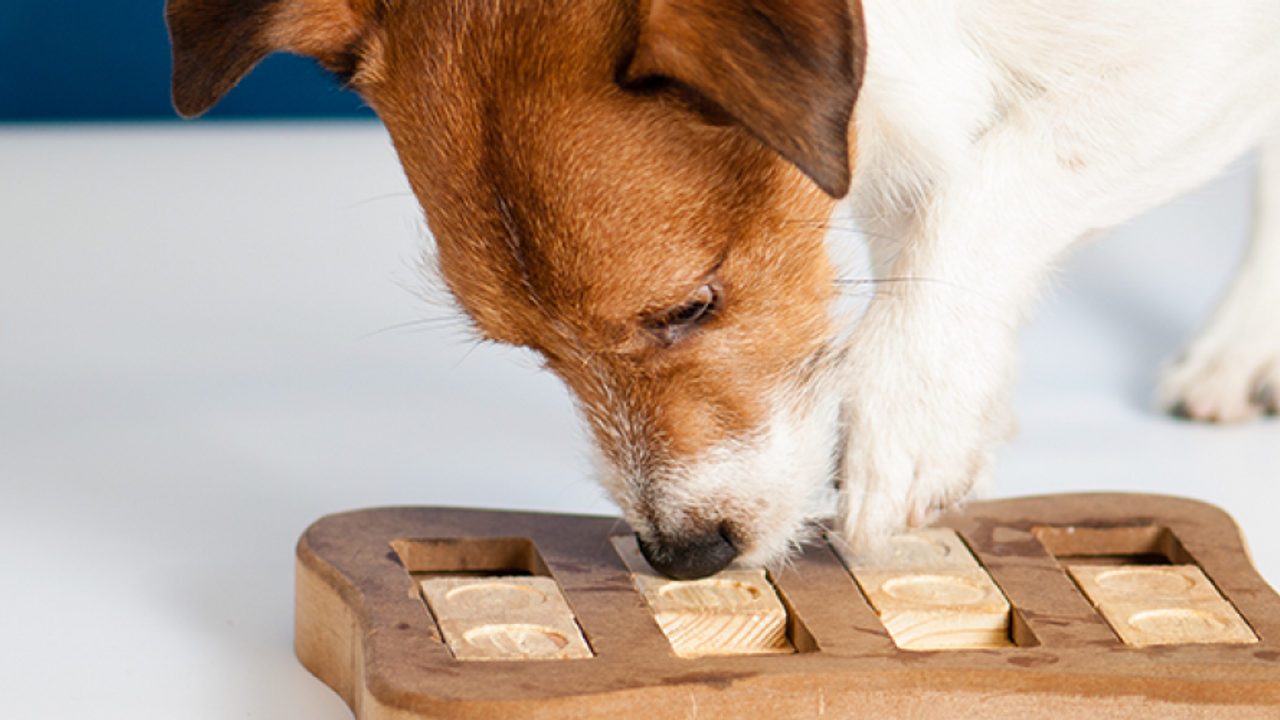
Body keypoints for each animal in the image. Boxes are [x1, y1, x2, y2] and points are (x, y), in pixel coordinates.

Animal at [170, 0, 1280, 573]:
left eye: (688, 307)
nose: (681, 555)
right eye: (528, 348)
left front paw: (911, 417)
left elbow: (990, 185)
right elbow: (918, 225)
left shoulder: (1205, 55)